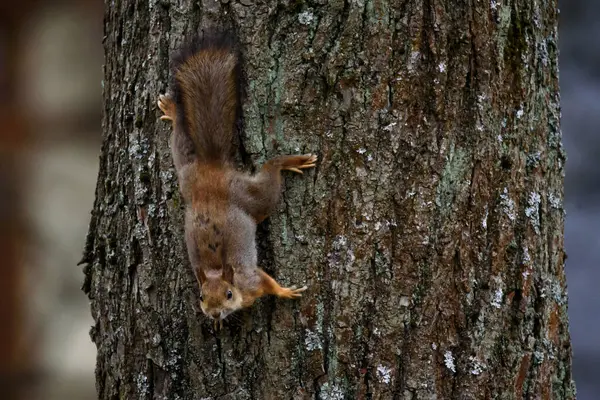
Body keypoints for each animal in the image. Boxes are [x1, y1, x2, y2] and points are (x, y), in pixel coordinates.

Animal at [155, 30, 316, 328]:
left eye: (229, 294)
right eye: (201, 297)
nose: (214, 313)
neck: (219, 272)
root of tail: (212, 170)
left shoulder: (250, 279)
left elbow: (267, 282)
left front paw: (285, 291)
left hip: (251, 196)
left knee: (270, 172)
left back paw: (290, 162)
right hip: (186, 172)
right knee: (180, 140)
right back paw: (172, 110)